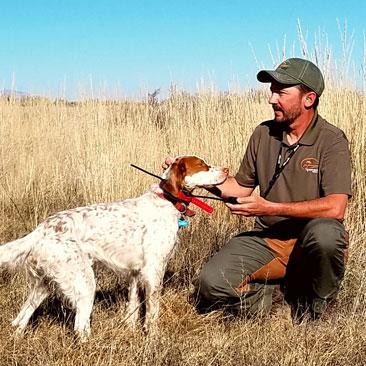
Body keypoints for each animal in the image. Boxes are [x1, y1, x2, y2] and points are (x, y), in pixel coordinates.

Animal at [0, 156, 229, 338]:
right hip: (84, 283)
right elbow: (152, 311)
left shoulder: (136, 273)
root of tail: (42, 229)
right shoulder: (153, 270)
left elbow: (132, 306)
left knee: (20, 319)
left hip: (45, 283)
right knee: (80, 326)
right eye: (202, 164)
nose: (227, 169)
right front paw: (153, 338)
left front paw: (131, 330)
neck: (167, 201)